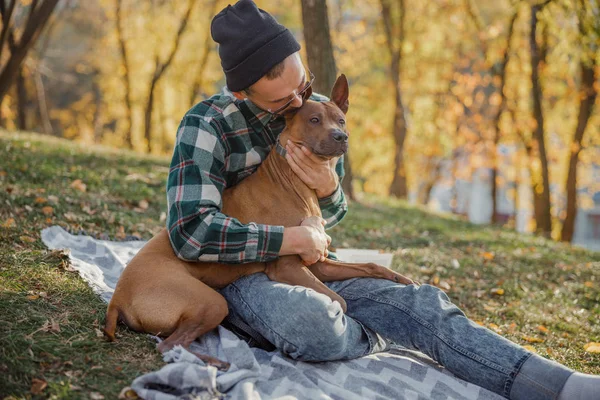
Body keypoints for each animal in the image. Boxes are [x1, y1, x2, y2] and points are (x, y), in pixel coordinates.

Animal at [103, 75, 414, 366]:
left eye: (341, 120)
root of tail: (117, 297)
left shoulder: (320, 263)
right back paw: (219, 363)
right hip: (210, 301)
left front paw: (401, 278)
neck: (292, 179)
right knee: (168, 345)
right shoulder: (289, 267)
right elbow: (340, 301)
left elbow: (371, 265)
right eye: (314, 120)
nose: (341, 136)